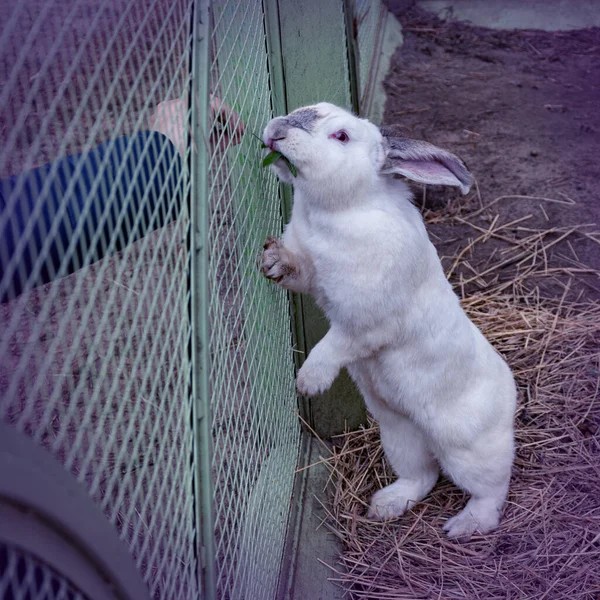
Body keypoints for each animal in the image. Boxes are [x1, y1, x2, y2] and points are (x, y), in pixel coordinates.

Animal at [260, 102, 516, 540]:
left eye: (341, 136)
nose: (276, 131)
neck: (339, 210)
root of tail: (511, 397)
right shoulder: (311, 273)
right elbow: (297, 269)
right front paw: (271, 261)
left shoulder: (364, 324)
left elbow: (334, 346)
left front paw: (308, 382)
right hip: (399, 435)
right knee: (422, 476)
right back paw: (385, 505)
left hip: (467, 451)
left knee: (492, 492)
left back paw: (461, 527)